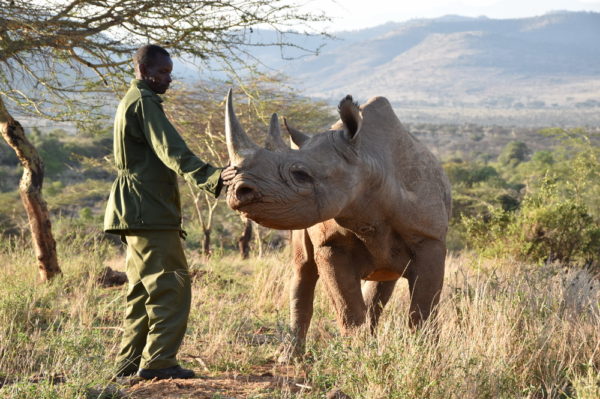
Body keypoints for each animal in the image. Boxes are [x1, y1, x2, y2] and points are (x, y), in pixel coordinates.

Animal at [224, 90, 450, 356]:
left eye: (301, 175)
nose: (236, 190)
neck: (369, 162)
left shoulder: (429, 239)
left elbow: (424, 308)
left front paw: (425, 356)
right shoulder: (331, 243)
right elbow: (347, 306)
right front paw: (360, 355)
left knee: (383, 283)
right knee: (303, 269)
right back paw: (290, 357)